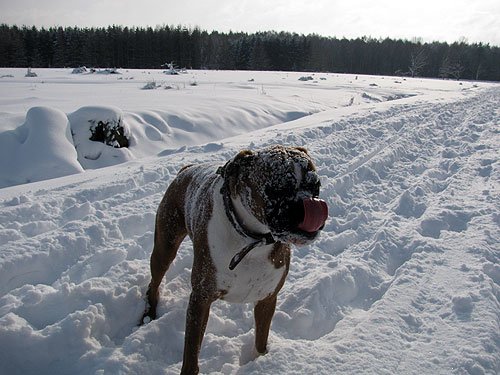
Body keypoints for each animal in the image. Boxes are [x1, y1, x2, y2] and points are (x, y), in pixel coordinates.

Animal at [141, 145, 328, 374]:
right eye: (276, 190)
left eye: (316, 185)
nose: (307, 202)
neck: (253, 241)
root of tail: (186, 169)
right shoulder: (201, 300)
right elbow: (191, 355)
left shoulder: (267, 299)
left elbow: (261, 340)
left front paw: (260, 361)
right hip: (165, 247)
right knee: (154, 283)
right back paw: (148, 314)